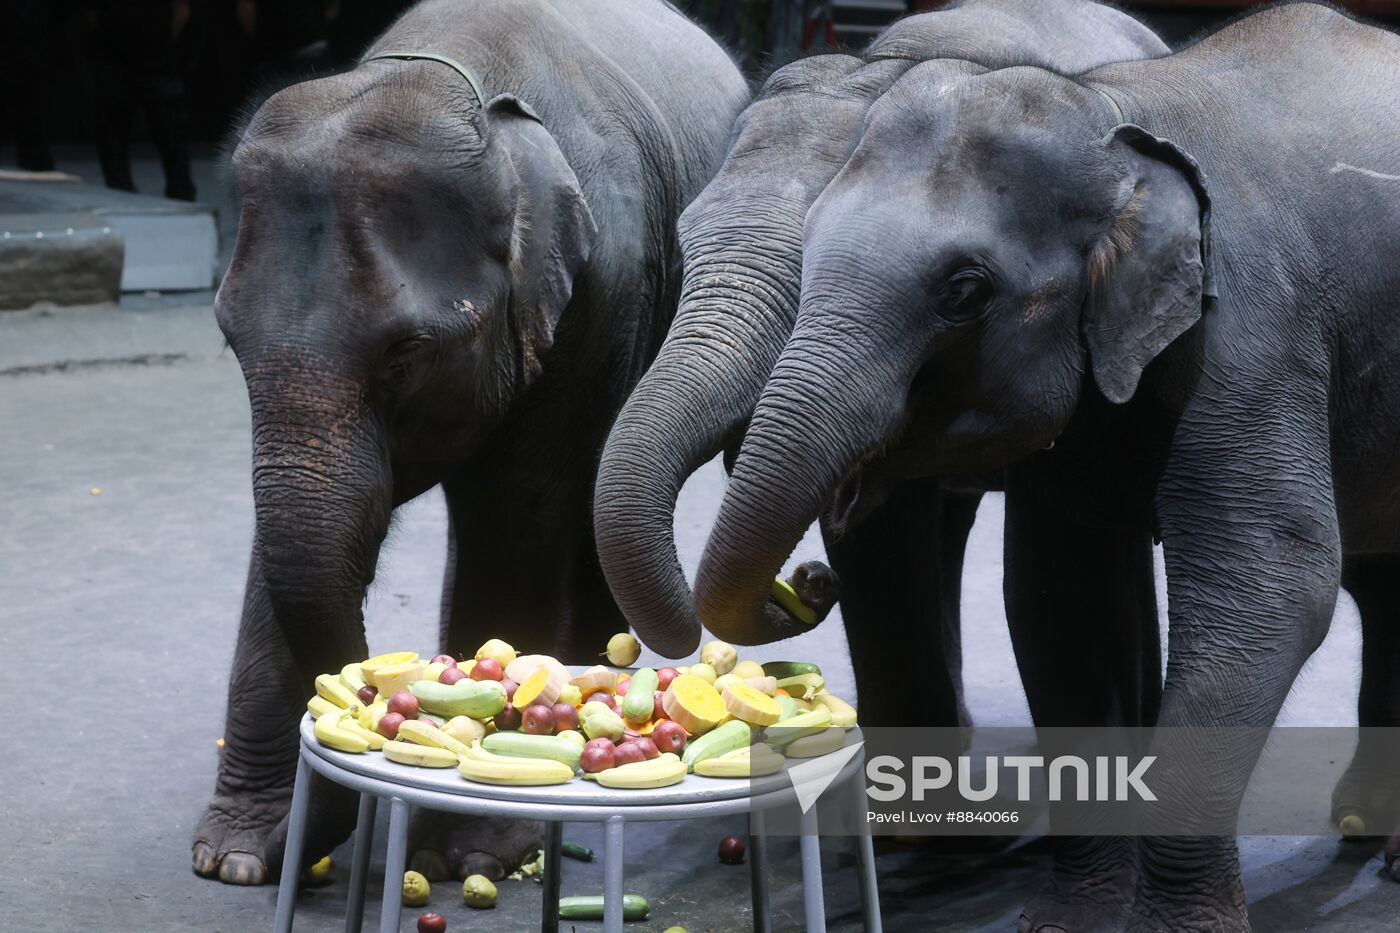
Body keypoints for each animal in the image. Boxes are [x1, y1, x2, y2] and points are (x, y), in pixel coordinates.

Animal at [194, 0, 756, 885]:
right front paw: (238, 857)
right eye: (227, 337)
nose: (297, 845)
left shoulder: (603, 291)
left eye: (404, 352)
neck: (455, 84)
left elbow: (518, 509)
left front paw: (471, 849)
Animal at [700, 3, 1400, 924]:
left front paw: (1175, 927)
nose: (810, 579)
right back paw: (1368, 825)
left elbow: (1276, 582)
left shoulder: (1251, 332)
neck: (1114, 119)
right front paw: (1078, 919)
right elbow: (1056, 597)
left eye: (963, 291)